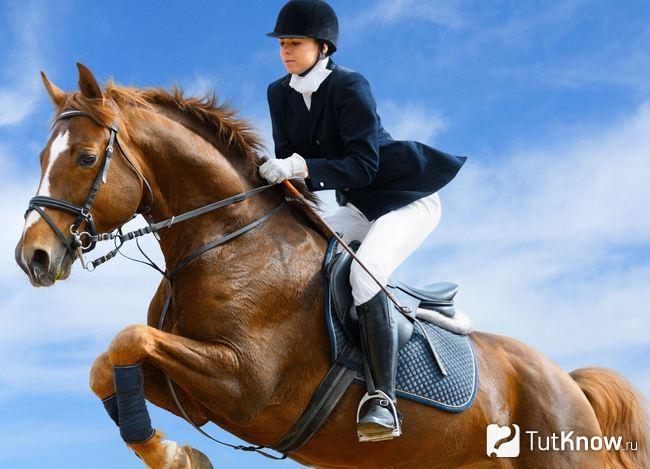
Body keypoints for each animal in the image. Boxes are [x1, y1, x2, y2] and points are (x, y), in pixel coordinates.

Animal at [14, 63, 648, 468]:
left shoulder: (244, 383)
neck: (225, 242)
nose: (32, 258)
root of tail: (567, 382)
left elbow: (126, 340)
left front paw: (175, 457)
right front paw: (176, 454)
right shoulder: (189, 388)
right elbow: (107, 365)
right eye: (42, 155)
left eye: (86, 158)